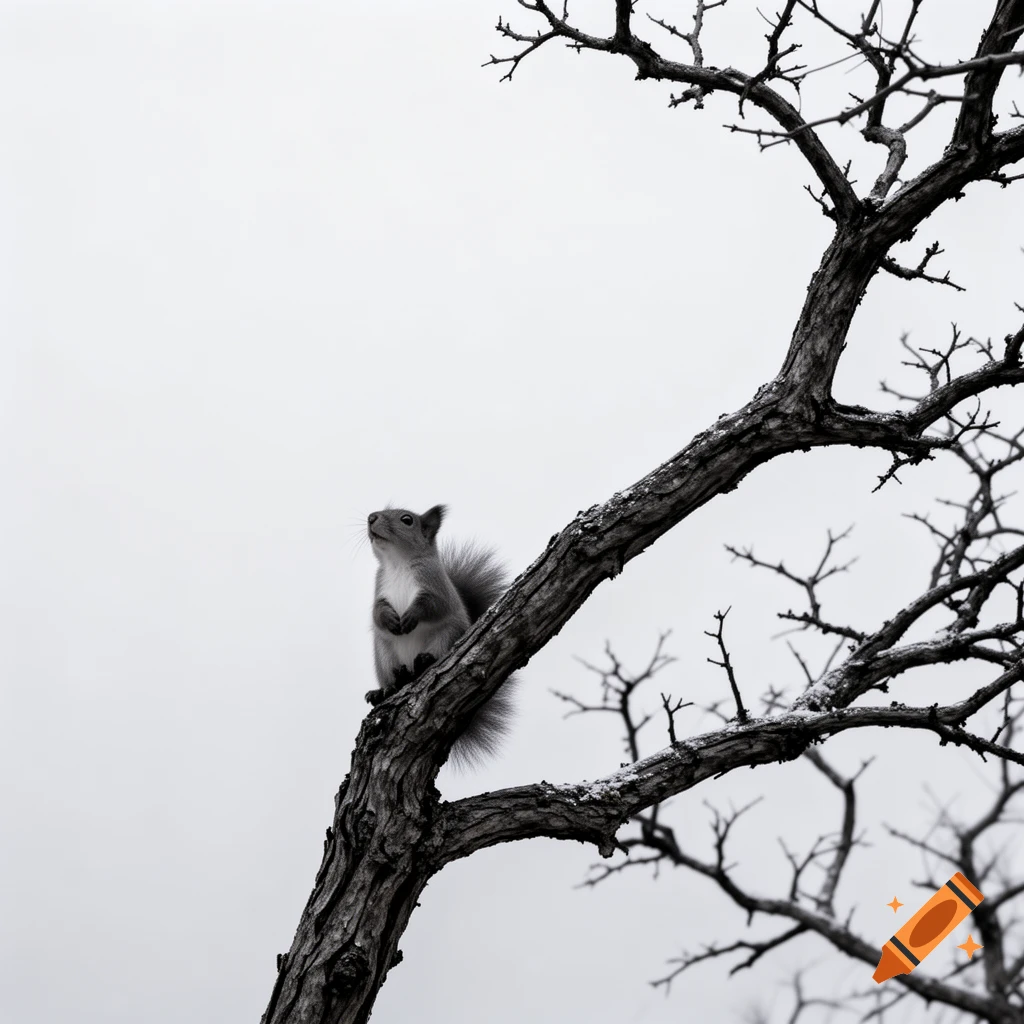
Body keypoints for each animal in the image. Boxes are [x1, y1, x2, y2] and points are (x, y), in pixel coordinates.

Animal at [365, 504, 515, 767]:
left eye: (407, 520)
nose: (371, 518)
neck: (398, 563)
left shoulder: (437, 586)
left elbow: (433, 606)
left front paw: (410, 616)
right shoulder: (379, 588)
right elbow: (377, 613)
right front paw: (390, 619)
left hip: (446, 637)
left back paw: (424, 663)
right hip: (383, 654)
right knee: (392, 677)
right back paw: (386, 689)